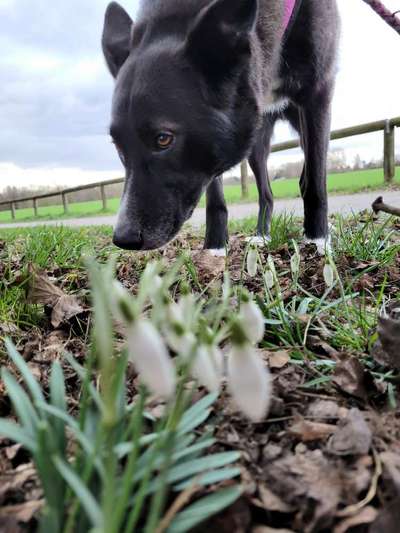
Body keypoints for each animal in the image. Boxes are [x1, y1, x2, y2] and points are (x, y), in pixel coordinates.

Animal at [101, 0, 340, 251]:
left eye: (163, 139)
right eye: (118, 147)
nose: (123, 239)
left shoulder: (318, 94)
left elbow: (316, 182)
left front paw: (318, 240)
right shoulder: (212, 145)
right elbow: (215, 196)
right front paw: (214, 246)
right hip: (257, 142)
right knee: (266, 193)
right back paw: (262, 235)